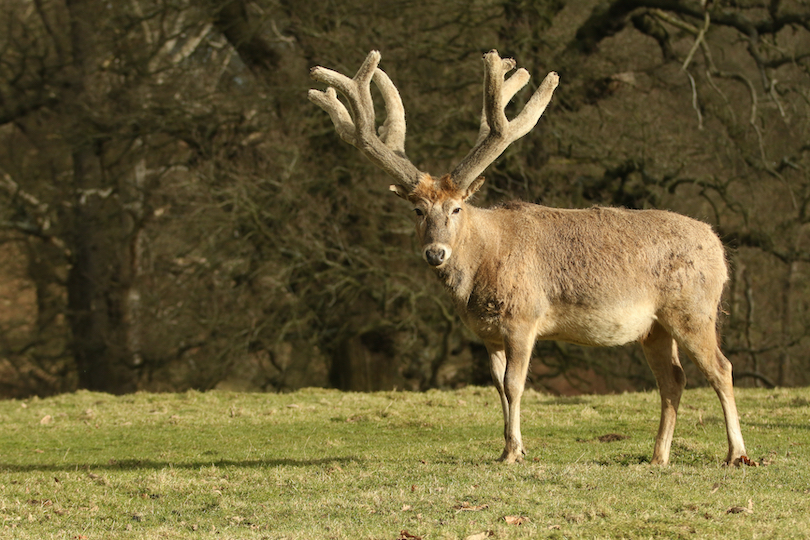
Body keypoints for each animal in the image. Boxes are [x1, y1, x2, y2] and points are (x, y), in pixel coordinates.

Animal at [306, 49, 748, 464]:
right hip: (654, 327)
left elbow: (516, 385)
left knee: (721, 368)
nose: (435, 252)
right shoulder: (487, 333)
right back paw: (658, 457)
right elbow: (498, 387)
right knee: (673, 379)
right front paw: (508, 446)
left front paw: (513, 452)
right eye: (417, 210)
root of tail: (719, 248)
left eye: (456, 208)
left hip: (693, 309)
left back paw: (736, 454)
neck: (484, 264)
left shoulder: (524, 316)